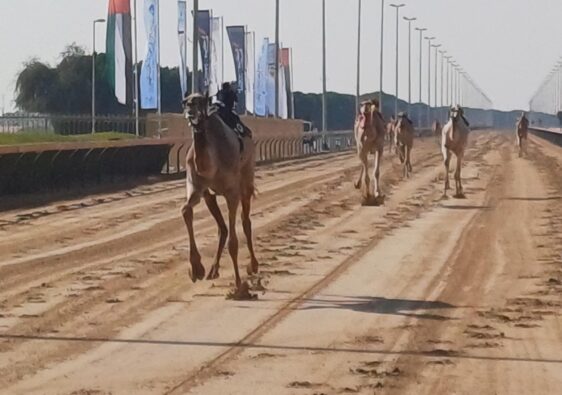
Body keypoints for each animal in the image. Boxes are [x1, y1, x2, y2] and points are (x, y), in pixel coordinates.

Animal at [179, 92, 258, 290]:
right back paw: (213, 270)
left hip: (246, 179)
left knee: (245, 221)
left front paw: (238, 283)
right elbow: (185, 210)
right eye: (185, 101)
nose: (190, 110)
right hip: (210, 196)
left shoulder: (232, 193)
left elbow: (234, 241)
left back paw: (253, 266)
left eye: (200, 100)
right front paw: (196, 269)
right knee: (222, 228)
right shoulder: (197, 188)